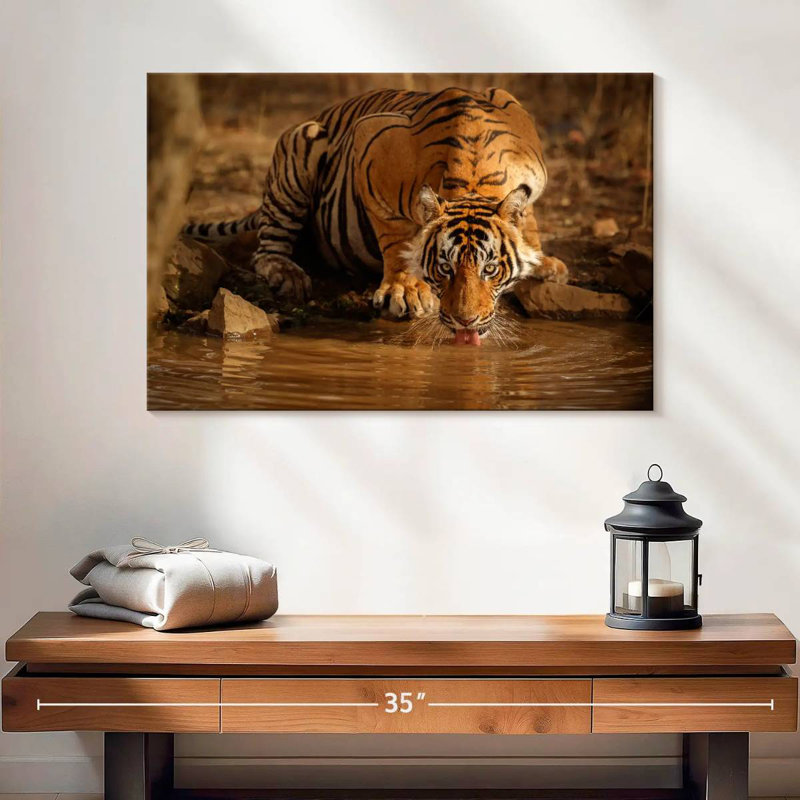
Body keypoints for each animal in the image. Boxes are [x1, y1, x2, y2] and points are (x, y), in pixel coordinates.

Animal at [183, 86, 568, 344]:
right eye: (445, 268)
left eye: (490, 270)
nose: (465, 322)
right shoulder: (369, 149)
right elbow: (395, 238)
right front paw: (405, 290)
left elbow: (528, 219)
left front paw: (541, 262)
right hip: (300, 146)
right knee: (267, 250)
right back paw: (287, 274)